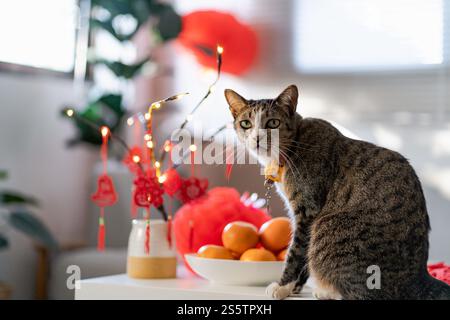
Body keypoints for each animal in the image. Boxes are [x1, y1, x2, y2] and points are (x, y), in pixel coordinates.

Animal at [227, 85, 450, 300]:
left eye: (273, 122)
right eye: (246, 123)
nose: (257, 138)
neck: (293, 145)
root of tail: (418, 278)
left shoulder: (308, 211)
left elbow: (296, 252)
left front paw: (282, 287)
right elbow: (304, 258)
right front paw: (296, 288)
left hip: (328, 228)